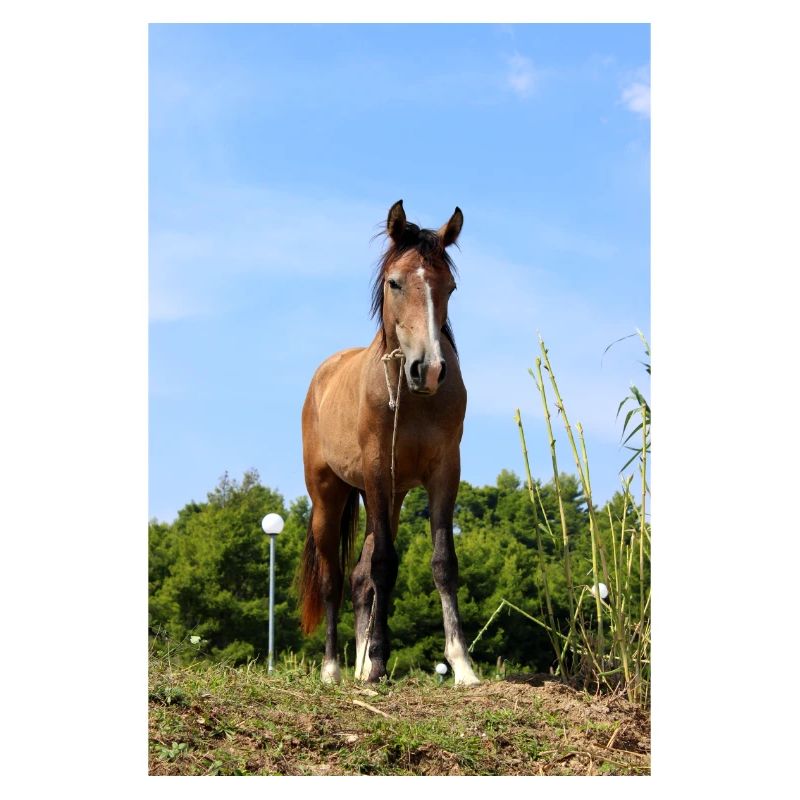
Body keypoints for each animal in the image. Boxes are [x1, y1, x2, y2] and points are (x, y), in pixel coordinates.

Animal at [298, 200, 480, 686]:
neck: (412, 399)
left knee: (359, 578)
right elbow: (384, 565)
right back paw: (333, 669)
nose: (429, 369)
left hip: (390, 498)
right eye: (395, 282)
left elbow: (442, 563)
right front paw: (378, 662)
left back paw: (359, 664)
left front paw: (461, 664)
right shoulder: (378, 472)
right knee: (334, 579)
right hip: (330, 496)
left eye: (450, 286)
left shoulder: (443, 473)